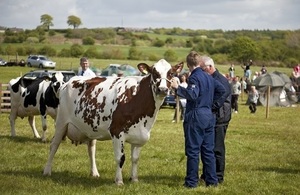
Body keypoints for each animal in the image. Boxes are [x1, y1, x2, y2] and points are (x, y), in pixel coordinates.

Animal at [42, 58, 183, 185]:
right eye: (154, 72)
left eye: (171, 73)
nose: (163, 89)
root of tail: (67, 82)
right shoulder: (117, 132)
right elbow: (120, 158)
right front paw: (119, 181)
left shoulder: (139, 135)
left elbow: (135, 159)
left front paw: (134, 179)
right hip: (61, 122)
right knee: (54, 145)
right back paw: (47, 171)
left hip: (89, 127)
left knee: (91, 149)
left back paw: (94, 173)